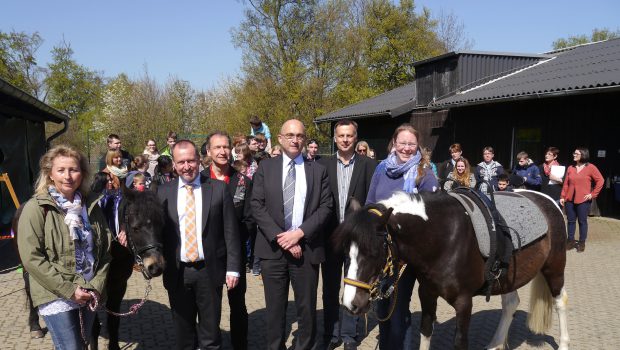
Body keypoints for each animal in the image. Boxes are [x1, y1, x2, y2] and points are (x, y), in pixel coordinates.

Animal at [332, 191, 568, 350]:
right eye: (345, 250)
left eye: (374, 252)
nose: (351, 304)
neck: (445, 237)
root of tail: (549, 201)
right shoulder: (427, 294)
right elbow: (426, 332)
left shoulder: (464, 302)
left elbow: (460, 342)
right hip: (510, 277)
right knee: (511, 304)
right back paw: (495, 343)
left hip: (555, 268)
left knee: (560, 301)